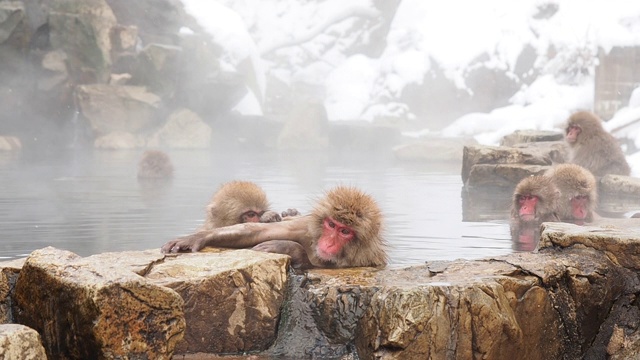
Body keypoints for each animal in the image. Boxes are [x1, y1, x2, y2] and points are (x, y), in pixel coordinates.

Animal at [162, 187, 388, 268]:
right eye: (331, 224)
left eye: (344, 231)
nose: (329, 242)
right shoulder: (304, 228)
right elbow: (256, 231)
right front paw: (198, 237)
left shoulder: (364, 259)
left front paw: (288, 248)